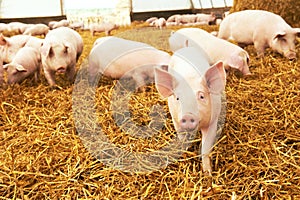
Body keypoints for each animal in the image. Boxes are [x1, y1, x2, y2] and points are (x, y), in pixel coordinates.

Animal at [155, 46, 225, 174]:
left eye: (201, 96)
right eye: (178, 98)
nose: (188, 115)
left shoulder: (213, 121)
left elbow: (205, 148)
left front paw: (208, 173)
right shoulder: (175, 119)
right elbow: (182, 138)